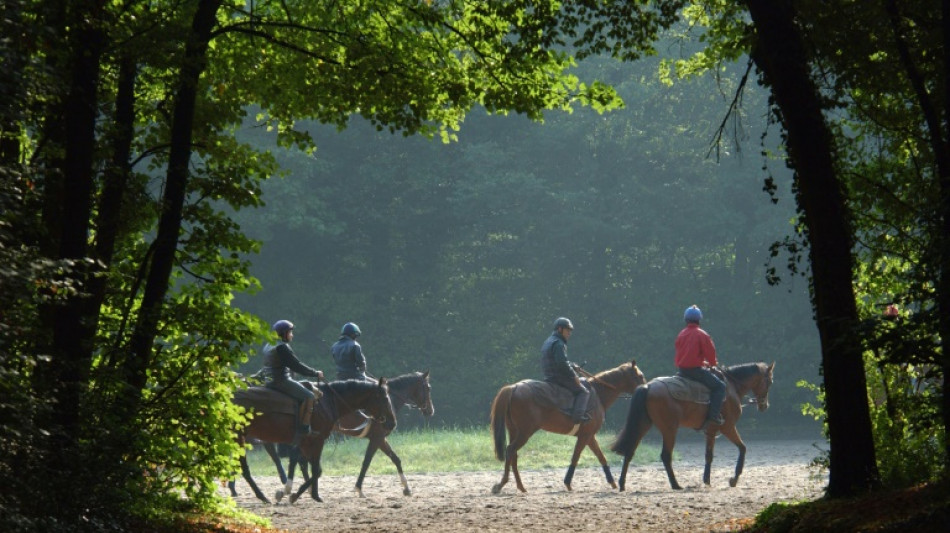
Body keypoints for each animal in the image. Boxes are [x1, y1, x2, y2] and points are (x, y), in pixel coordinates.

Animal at [236, 376, 396, 500]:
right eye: (385, 398)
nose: (392, 423)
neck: (327, 402)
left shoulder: (307, 442)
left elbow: (312, 467)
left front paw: (309, 494)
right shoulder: (317, 441)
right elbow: (315, 469)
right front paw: (300, 494)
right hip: (239, 438)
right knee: (245, 470)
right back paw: (262, 496)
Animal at [490, 360, 648, 492]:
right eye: (639, 376)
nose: (646, 388)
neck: (598, 394)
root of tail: (514, 387)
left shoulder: (590, 436)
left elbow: (601, 456)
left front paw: (612, 482)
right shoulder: (585, 436)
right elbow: (576, 457)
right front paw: (567, 483)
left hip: (515, 431)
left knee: (513, 454)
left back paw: (520, 486)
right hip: (525, 432)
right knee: (510, 451)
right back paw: (502, 484)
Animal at [612, 362, 776, 490]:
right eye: (769, 382)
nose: (765, 405)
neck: (731, 387)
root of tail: (648, 387)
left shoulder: (711, 431)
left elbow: (709, 455)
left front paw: (707, 481)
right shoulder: (728, 427)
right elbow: (742, 448)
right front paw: (734, 479)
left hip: (643, 425)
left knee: (629, 451)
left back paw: (622, 484)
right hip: (669, 429)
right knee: (665, 456)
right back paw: (675, 484)